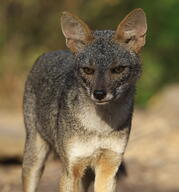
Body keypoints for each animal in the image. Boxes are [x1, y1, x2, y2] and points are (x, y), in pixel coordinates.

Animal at [22, 8, 147, 192]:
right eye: (88, 70)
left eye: (118, 69)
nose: (99, 94)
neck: (99, 126)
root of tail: (51, 52)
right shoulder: (71, 168)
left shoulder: (109, 165)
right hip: (35, 158)